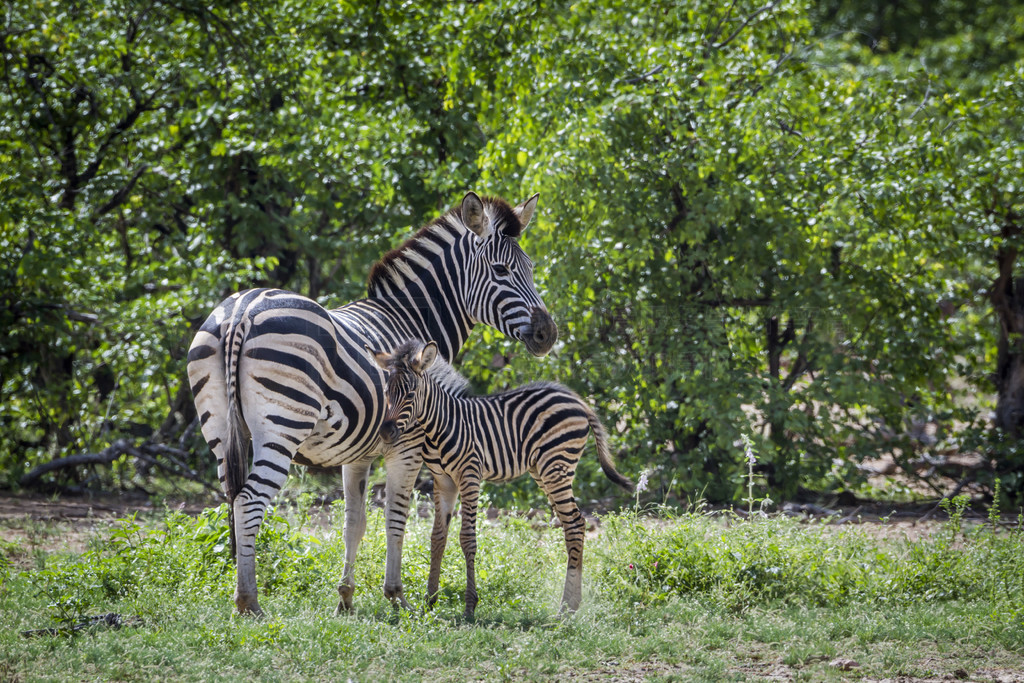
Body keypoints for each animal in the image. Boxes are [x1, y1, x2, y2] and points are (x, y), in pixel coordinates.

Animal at [188, 191, 557, 614]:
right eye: (500, 270)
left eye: (530, 268)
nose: (548, 334)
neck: (410, 318)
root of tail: (242, 311)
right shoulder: (408, 446)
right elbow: (396, 517)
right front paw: (396, 595)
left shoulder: (357, 452)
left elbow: (354, 522)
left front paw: (345, 599)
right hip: (282, 427)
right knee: (250, 502)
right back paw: (250, 602)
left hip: (219, 428)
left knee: (232, 500)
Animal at [374, 339, 630, 618]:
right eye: (386, 392)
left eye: (410, 394)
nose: (385, 433)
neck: (440, 426)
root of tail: (577, 400)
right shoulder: (443, 481)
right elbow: (437, 538)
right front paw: (430, 601)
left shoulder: (470, 476)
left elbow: (467, 538)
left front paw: (470, 606)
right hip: (543, 471)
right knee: (574, 523)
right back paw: (571, 605)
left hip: (556, 466)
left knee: (574, 523)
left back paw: (566, 608)